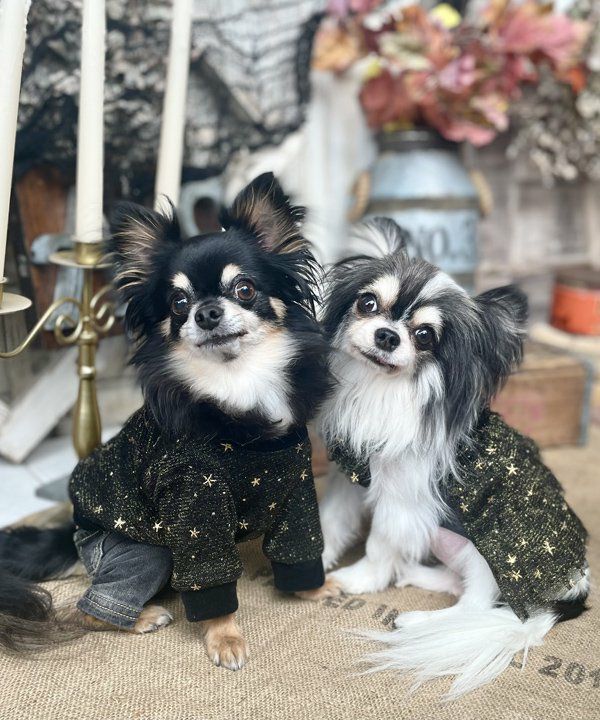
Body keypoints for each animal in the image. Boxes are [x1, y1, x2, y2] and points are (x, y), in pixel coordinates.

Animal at [0, 173, 335, 668]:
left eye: (245, 289)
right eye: (177, 302)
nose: (206, 311)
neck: (237, 386)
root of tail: (75, 535)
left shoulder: (295, 490)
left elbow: (299, 547)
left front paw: (317, 589)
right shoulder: (196, 504)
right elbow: (210, 578)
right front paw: (225, 637)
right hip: (143, 551)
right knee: (87, 609)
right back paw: (141, 616)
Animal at [318, 218, 589, 698]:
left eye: (425, 335)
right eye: (367, 303)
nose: (388, 335)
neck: (380, 391)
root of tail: (570, 595)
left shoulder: (401, 504)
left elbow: (378, 545)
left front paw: (356, 579)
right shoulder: (349, 479)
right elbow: (331, 521)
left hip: (489, 553)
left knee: (477, 603)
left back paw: (416, 621)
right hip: (448, 540)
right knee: (455, 582)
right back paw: (416, 574)